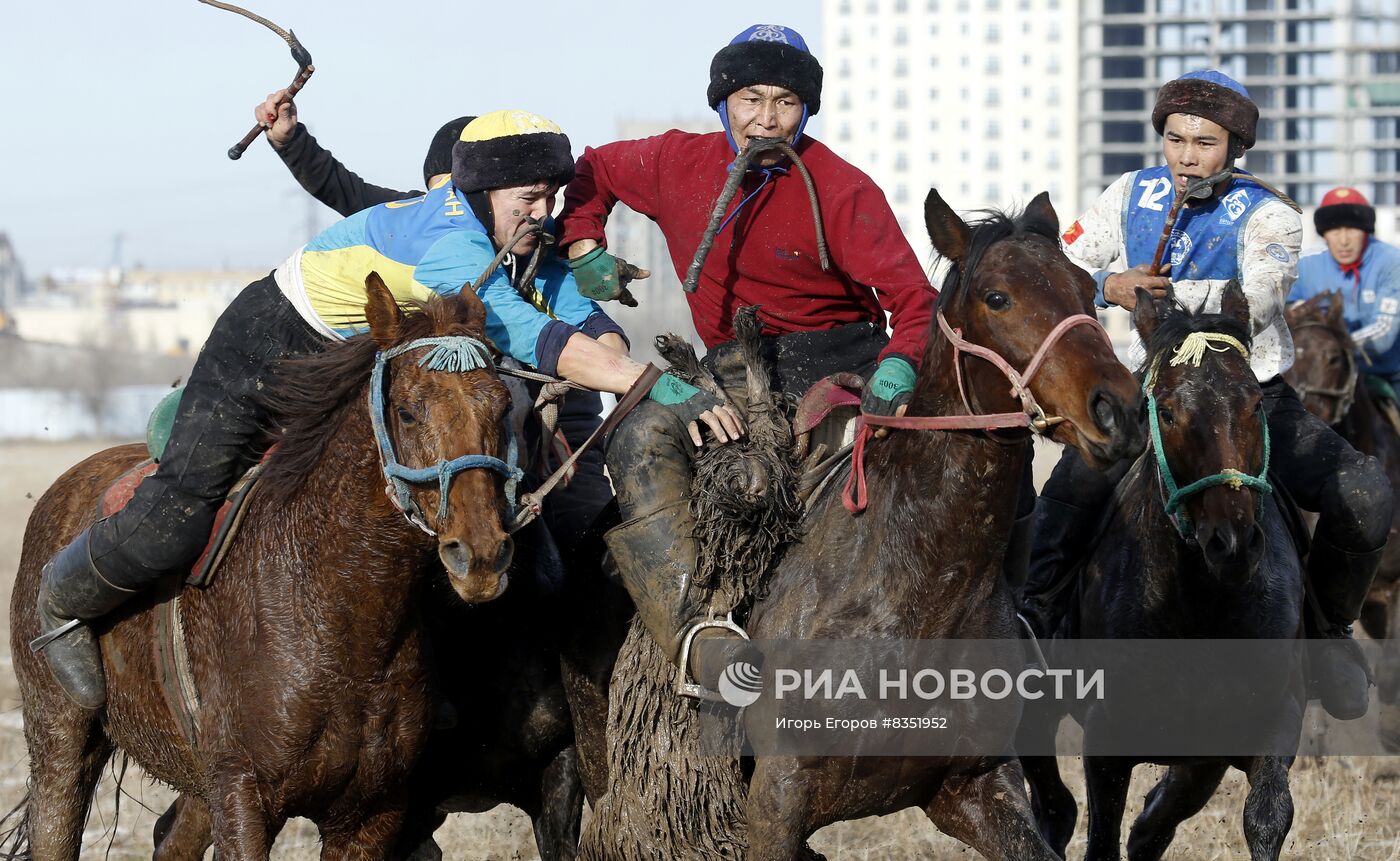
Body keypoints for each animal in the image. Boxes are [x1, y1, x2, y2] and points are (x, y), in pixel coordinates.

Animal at [6, 280, 520, 856]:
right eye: (408, 412)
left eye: (502, 407)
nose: (480, 555)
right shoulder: (242, 794)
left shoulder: (372, 812)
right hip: (60, 740)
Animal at [1024, 284, 1304, 861]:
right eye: (1169, 412)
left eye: (1254, 403)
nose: (1232, 543)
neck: (1198, 606)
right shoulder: (1107, 740)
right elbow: (1102, 837)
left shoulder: (1256, 727)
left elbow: (1265, 817)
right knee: (1053, 804)